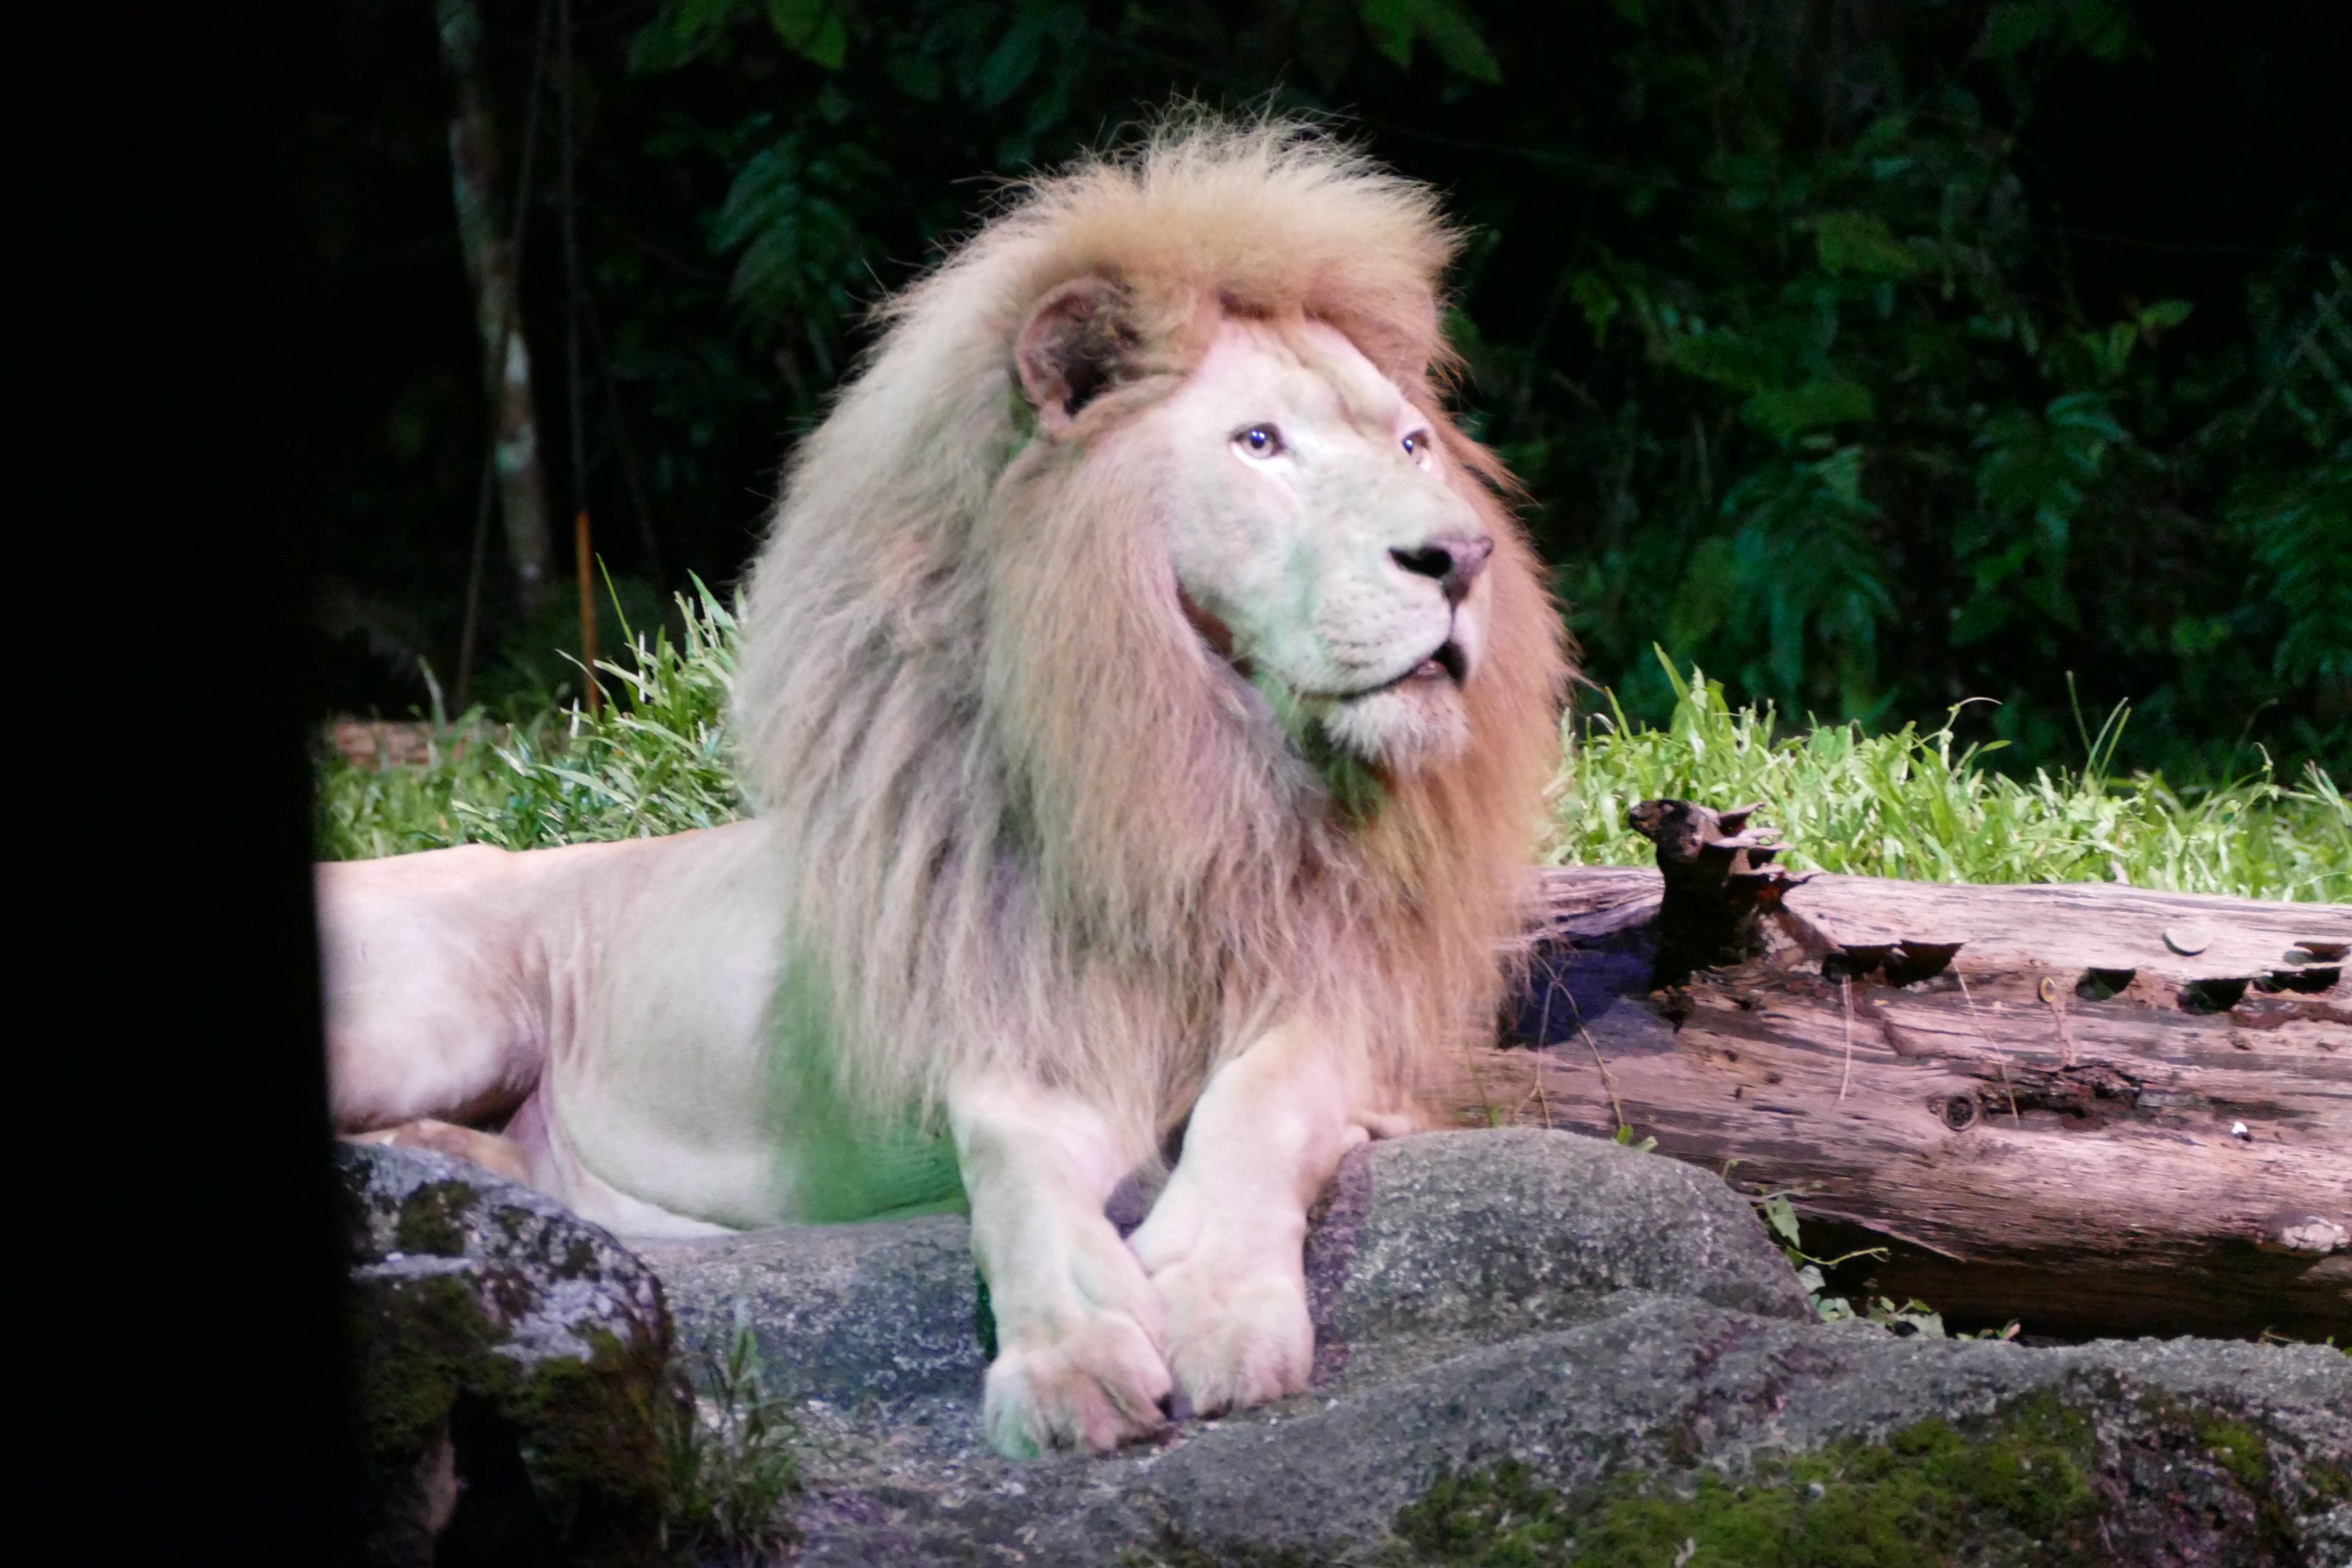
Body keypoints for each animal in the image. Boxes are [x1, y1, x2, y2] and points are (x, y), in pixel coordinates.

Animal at [318, 119, 1569, 1459]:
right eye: (1259, 444)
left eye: (1412, 444)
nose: (1461, 558)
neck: (1188, 768)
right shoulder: (1013, 1017)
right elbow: (1016, 1167)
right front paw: (1072, 1361)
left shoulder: (1348, 998)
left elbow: (1268, 1097)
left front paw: (1217, 1301)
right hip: (433, 1012)